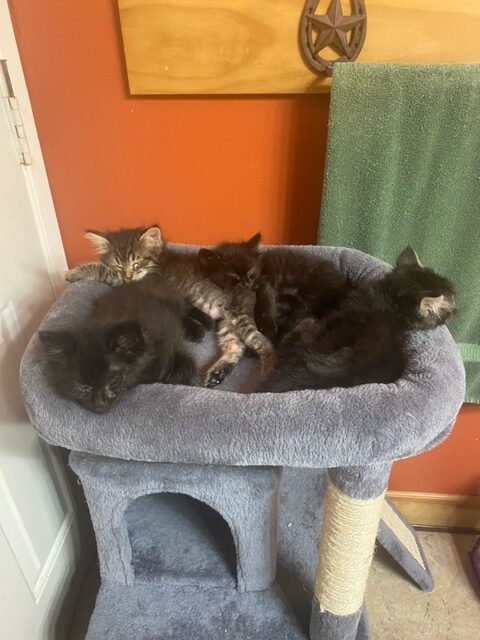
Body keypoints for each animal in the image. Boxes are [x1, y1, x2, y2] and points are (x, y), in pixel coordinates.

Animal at [39, 279, 198, 413]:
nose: (99, 404)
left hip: (174, 301)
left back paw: (196, 330)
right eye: (83, 386)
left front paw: (177, 377)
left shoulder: (169, 338)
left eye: (113, 380)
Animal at [197, 233, 276, 386]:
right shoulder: (226, 318)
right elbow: (235, 344)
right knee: (237, 345)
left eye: (251, 271)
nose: (246, 284)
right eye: (234, 276)